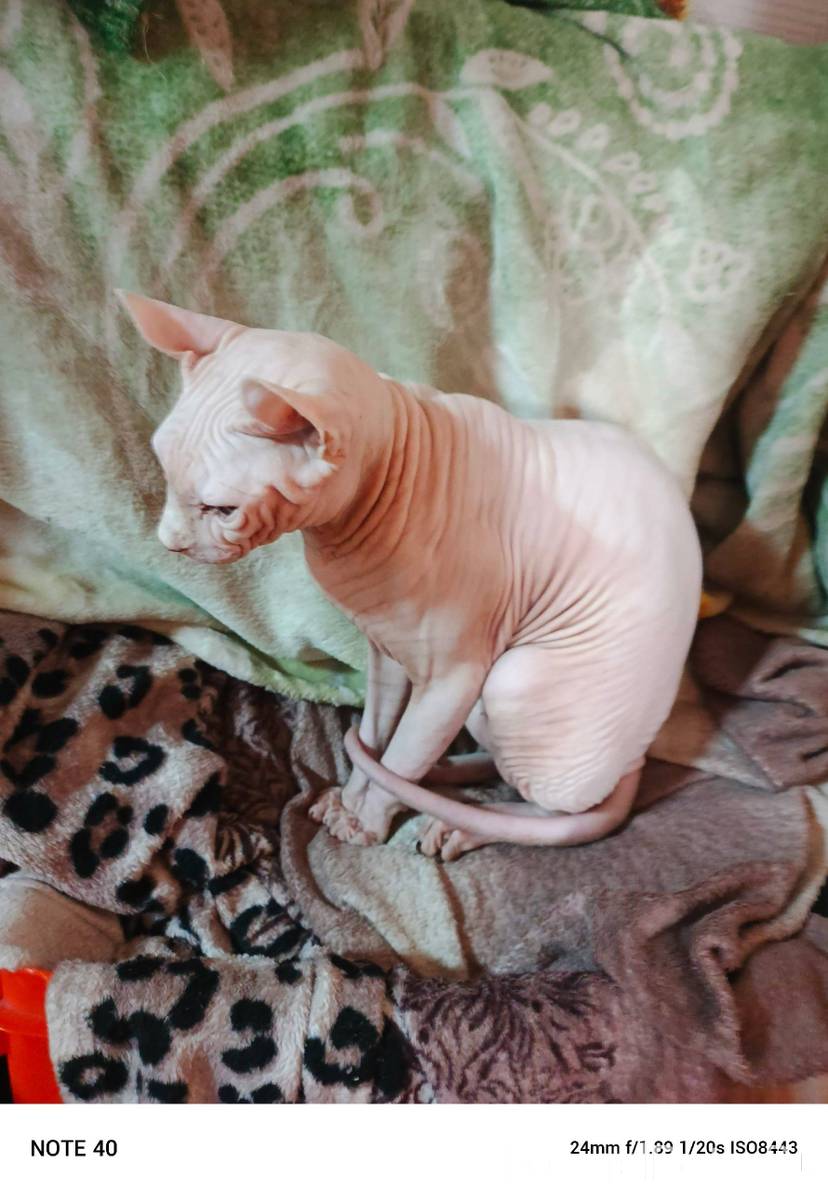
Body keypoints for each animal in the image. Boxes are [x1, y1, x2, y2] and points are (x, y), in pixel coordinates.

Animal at [119, 291, 702, 861]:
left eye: (221, 509)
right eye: (163, 469)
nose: (168, 542)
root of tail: (639, 756)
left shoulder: (452, 679)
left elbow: (398, 759)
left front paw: (366, 822)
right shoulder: (387, 651)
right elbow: (380, 740)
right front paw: (352, 800)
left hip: (511, 680)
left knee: (560, 809)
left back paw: (461, 825)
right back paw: (444, 776)